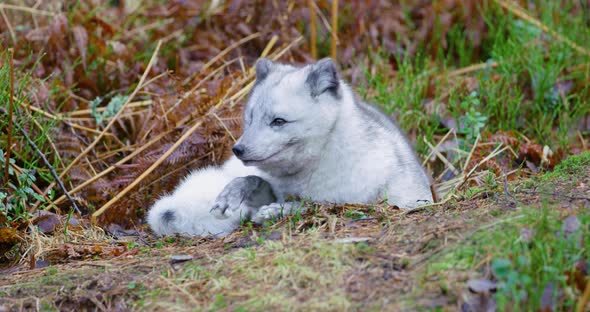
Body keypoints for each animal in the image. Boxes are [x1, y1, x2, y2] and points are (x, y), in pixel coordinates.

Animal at [148, 58, 434, 236]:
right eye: (250, 118)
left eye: (279, 121)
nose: (238, 150)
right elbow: (252, 181)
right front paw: (232, 195)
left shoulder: (369, 200)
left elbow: (315, 205)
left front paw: (277, 211)